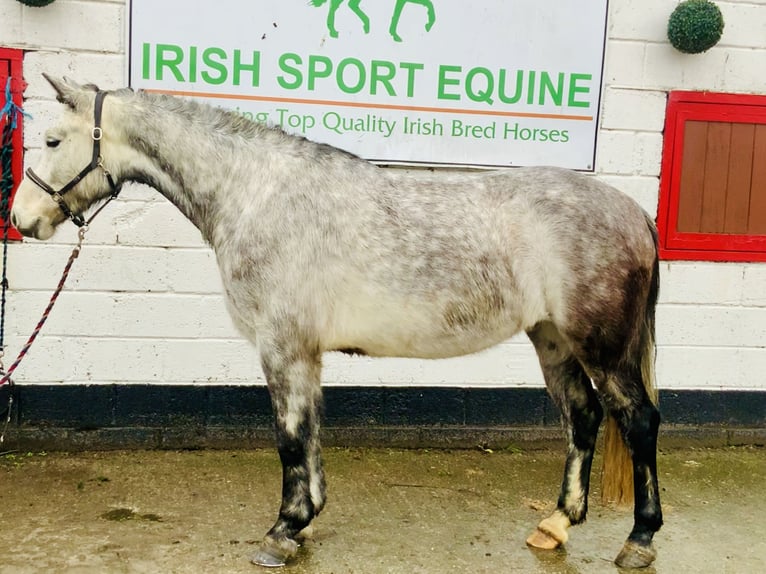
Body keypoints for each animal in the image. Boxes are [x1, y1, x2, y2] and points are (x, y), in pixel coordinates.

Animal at [9, 77, 664, 572]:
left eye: (52, 138)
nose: (20, 218)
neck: (254, 193)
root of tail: (634, 212)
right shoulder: (304, 353)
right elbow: (310, 436)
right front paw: (303, 523)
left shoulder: (282, 347)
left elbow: (289, 438)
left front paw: (282, 532)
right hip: (553, 340)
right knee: (583, 415)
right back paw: (555, 525)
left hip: (603, 349)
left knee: (638, 421)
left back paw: (639, 540)